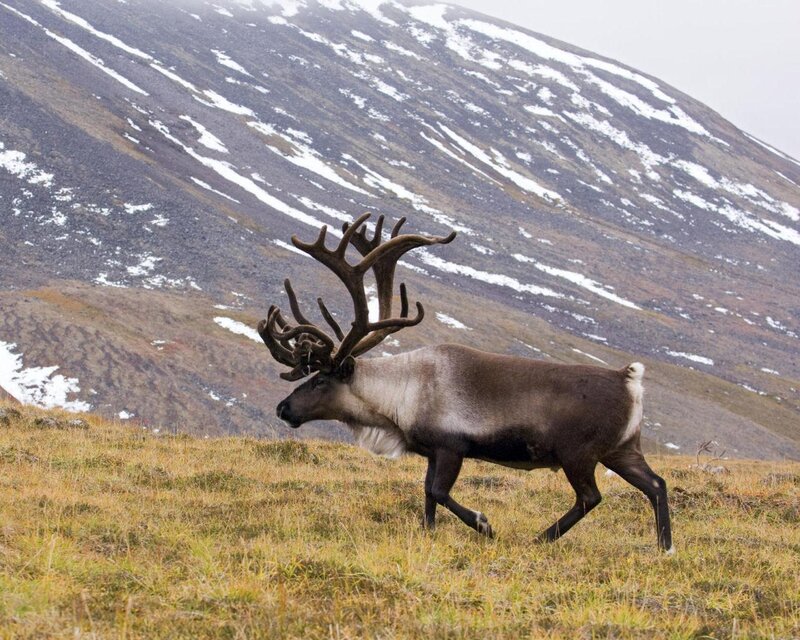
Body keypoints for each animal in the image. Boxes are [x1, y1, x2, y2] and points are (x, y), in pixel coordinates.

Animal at [258, 213, 673, 552]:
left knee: (590, 497)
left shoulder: (450, 447)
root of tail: (629, 379)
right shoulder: (430, 451)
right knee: (656, 484)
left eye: (320, 380)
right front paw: (428, 534)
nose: (282, 408)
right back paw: (664, 547)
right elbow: (426, 495)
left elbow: (439, 492)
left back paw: (541, 538)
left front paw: (483, 524)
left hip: (578, 454)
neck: (401, 394)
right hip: (621, 449)